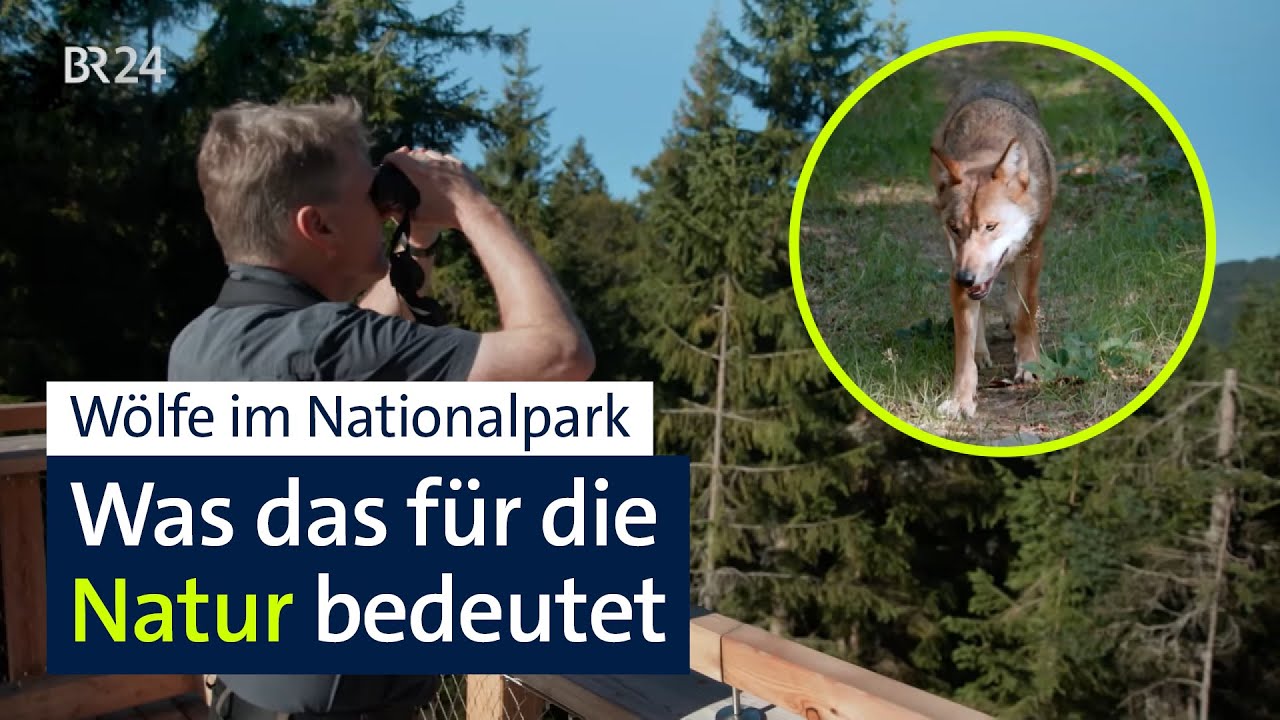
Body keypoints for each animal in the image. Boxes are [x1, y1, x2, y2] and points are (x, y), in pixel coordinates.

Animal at [928, 78, 1057, 419]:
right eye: (955, 228)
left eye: (990, 226)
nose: (965, 278)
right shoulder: (956, 266)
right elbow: (963, 349)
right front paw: (961, 399)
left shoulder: (1032, 250)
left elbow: (1026, 311)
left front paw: (1029, 366)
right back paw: (982, 351)